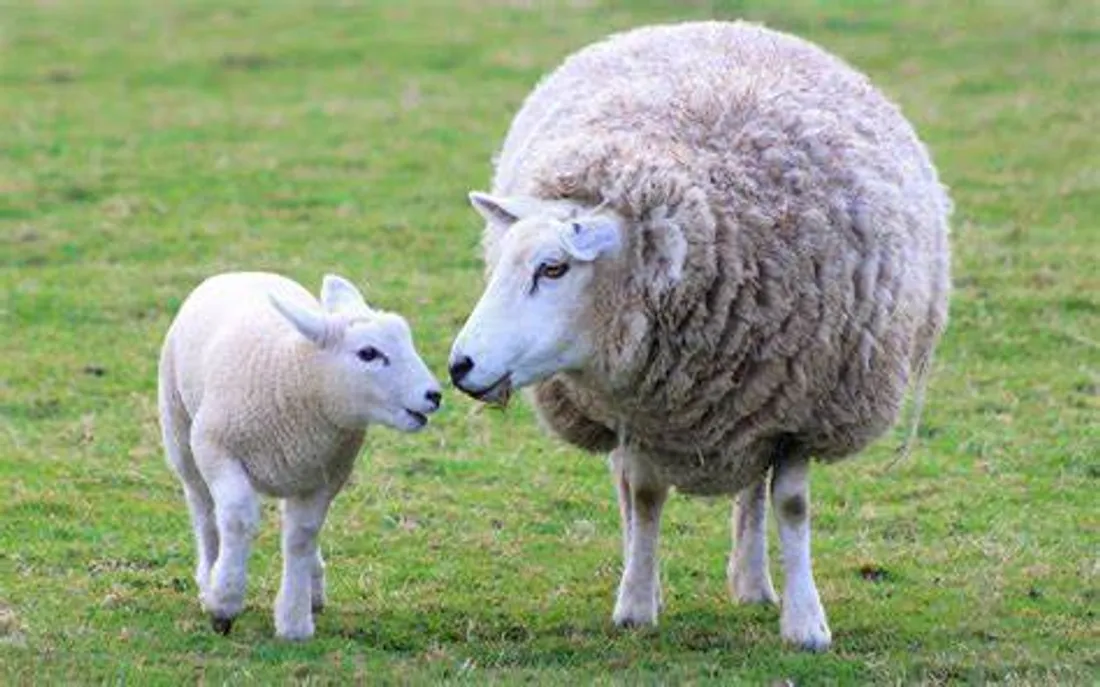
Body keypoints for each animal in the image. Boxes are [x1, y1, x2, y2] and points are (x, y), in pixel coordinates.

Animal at [158, 271, 442, 640]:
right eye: (368, 353)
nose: (433, 395)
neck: (293, 371)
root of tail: (242, 272)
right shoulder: (216, 448)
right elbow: (237, 518)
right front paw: (224, 601)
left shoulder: (327, 475)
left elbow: (301, 536)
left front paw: (294, 620)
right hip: (181, 433)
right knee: (204, 511)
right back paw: (209, 577)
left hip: (298, 468)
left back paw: (314, 587)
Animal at [448, 20, 950, 651]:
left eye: (554, 268)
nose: (460, 365)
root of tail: (723, 25)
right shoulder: (641, 407)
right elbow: (643, 495)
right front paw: (637, 604)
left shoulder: (802, 408)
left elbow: (791, 505)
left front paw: (806, 622)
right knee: (631, 488)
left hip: (759, 405)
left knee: (753, 489)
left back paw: (754, 584)